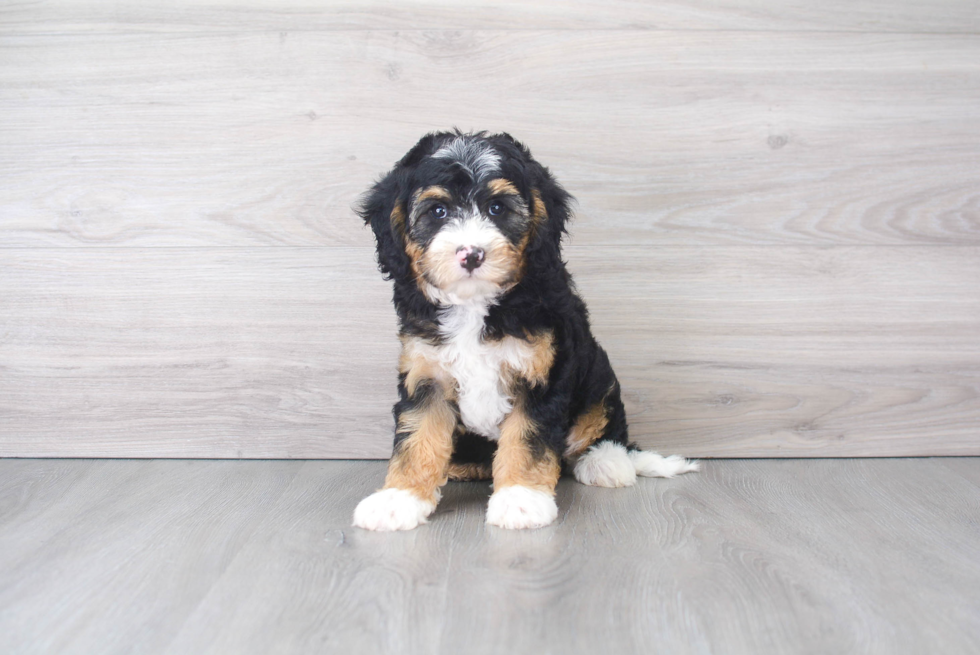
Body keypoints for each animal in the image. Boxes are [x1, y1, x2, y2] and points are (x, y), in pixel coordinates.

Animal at [352, 131, 696, 532]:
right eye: (438, 212)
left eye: (497, 208)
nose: (471, 254)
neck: (475, 305)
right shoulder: (426, 374)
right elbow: (417, 436)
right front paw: (398, 499)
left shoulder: (542, 375)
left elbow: (527, 439)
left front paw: (520, 499)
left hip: (600, 379)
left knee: (604, 427)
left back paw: (606, 462)